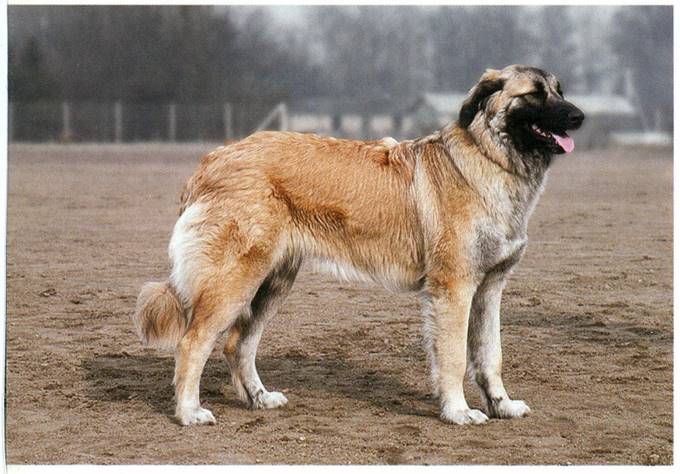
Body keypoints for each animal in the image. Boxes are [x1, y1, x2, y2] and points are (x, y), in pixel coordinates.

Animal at [133, 64, 584, 426]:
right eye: (534, 94)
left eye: (559, 90)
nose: (579, 116)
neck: (490, 161)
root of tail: (213, 160)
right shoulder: (454, 290)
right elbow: (455, 358)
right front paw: (458, 411)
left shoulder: (489, 289)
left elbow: (490, 357)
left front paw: (502, 405)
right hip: (235, 281)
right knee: (193, 342)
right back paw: (189, 412)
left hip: (273, 283)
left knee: (237, 343)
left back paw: (259, 399)